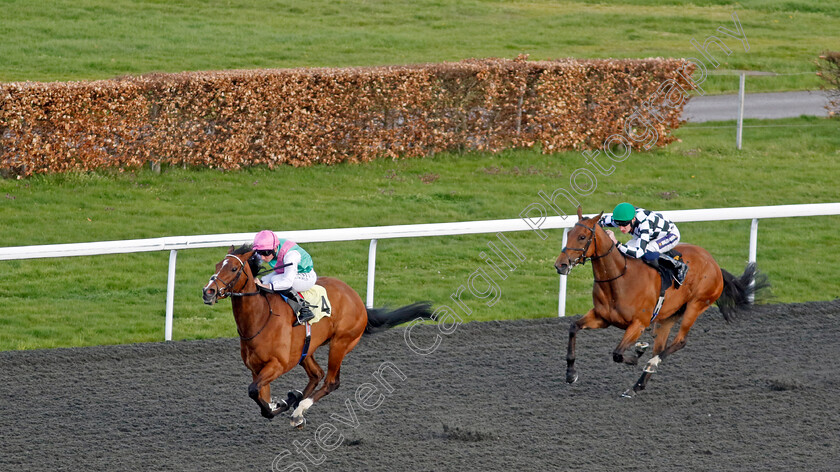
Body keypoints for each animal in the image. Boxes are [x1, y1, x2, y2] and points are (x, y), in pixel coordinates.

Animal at [203, 245, 434, 426]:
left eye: (233, 268)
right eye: (216, 266)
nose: (208, 291)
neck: (260, 318)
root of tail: (357, 299)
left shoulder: (277, 365)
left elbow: (255, 394)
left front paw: (286, 403)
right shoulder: (256, 369)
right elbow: (261, 397)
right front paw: (284, 400)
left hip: (340, 343)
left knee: (331, 381)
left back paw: (299, 408)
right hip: (306, 349)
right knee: (316, 374)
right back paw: (296, 405)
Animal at [556, 208, 768, 396]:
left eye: (582, 237)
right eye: (569, 234)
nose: (561, 265)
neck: (619, 279)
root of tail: (715, 265)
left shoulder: (638, 324)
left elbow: (617, 353)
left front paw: (637, 354)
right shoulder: (602, 317)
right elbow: (573, 327)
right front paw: (570, 374)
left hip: (696, 306)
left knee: (679, 341)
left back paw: (651, 364)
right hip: (668, 317)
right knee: (660, 346)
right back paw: (637, 386)